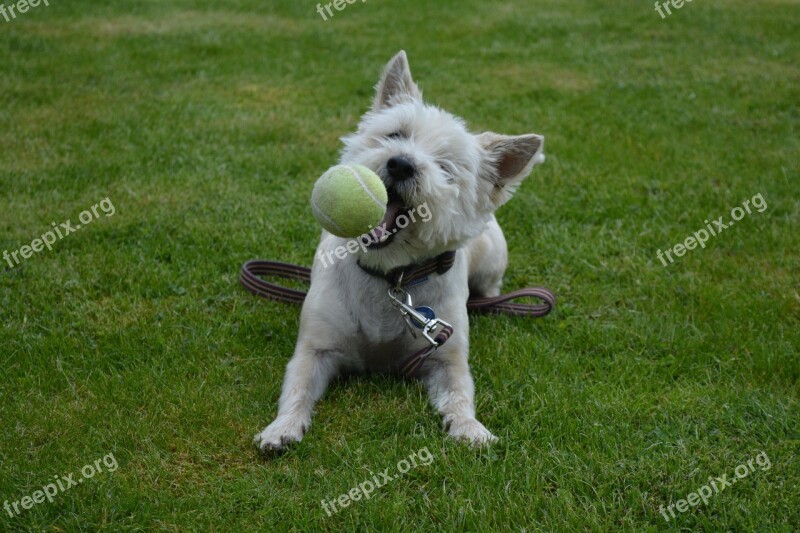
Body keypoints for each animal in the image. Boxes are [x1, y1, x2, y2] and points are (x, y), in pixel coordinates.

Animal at [255, 50, 544, 450]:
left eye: (447, 169)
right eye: (395, 134)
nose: (401, 163)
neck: (391, 278)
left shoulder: (445, 357)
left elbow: (459, 394)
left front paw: (470, 429)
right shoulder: (315, 349)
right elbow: (296, 388)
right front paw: (280, 428)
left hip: (492, 259)